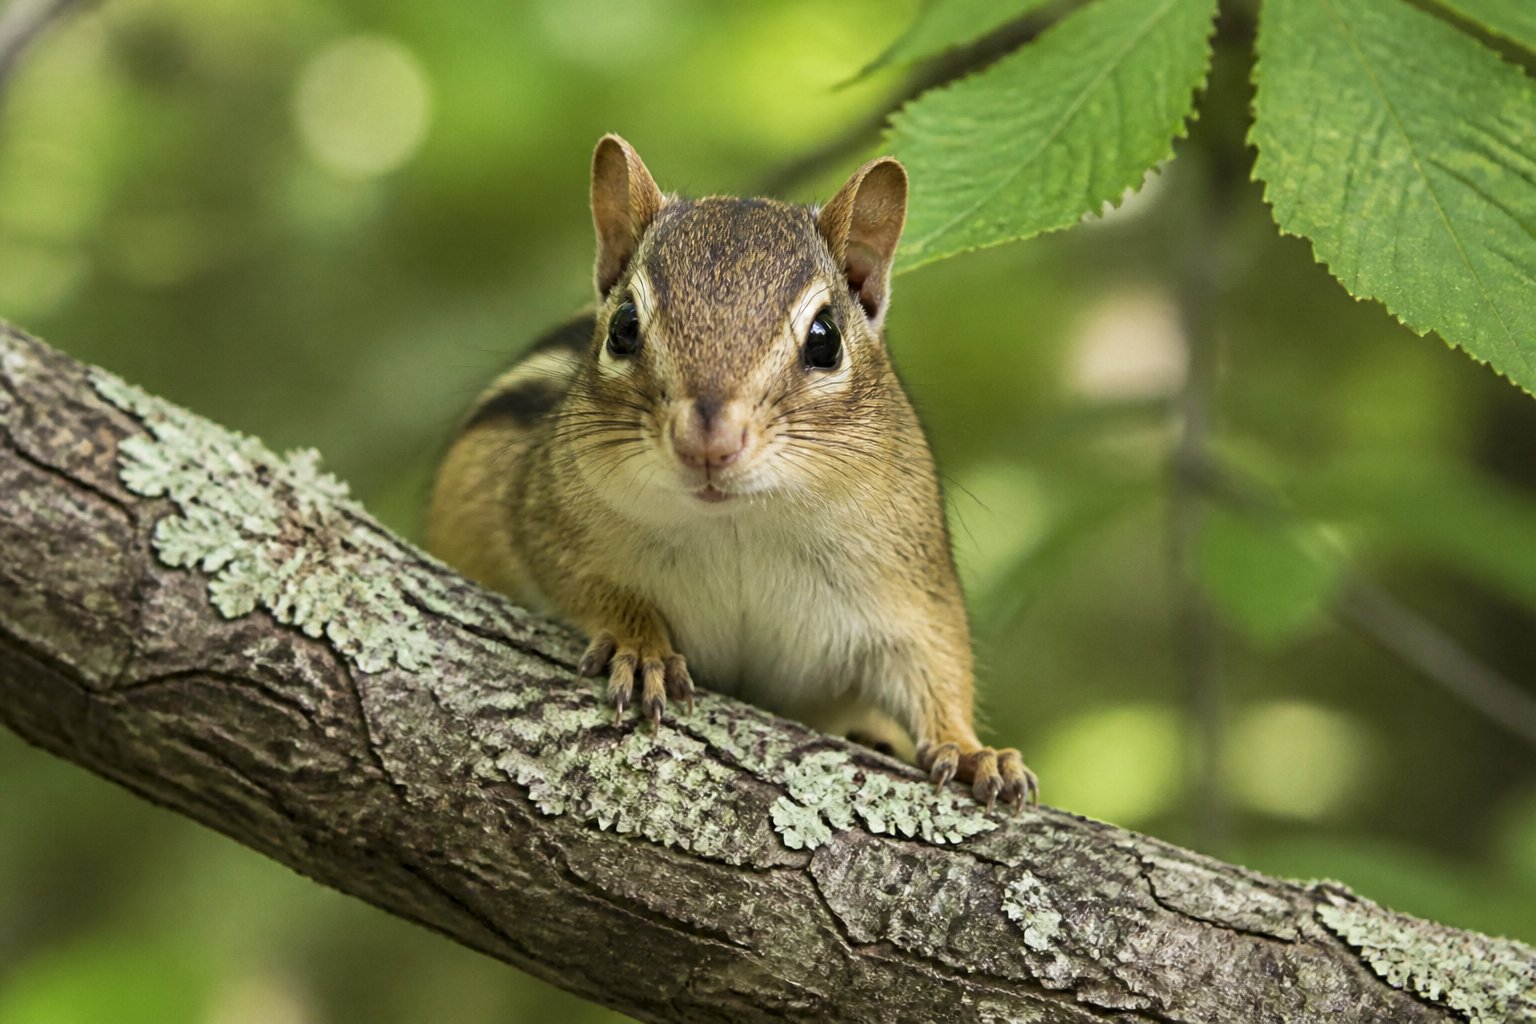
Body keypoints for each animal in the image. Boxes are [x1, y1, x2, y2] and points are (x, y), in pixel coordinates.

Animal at [427, 135, 1036, 813]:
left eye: (825, 339)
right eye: (624, 328)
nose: (708, 443)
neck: (740, 526)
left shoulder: (909, 587)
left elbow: (938, 665)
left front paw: (972, 749)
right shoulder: (545, 518)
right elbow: (587, 586)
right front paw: (641, 646)